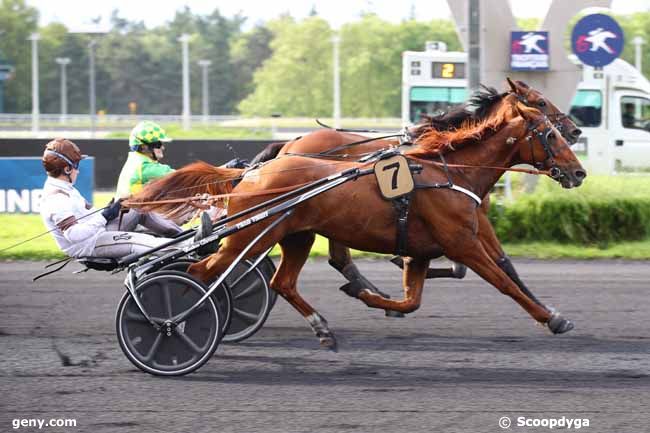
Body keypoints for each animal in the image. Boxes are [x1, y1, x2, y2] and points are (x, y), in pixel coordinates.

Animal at [130, 93, 584, 348]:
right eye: (548, 131)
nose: (578, 170)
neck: (448, 170)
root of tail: (252, 173)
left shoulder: (427, 248)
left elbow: (413, 298)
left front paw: (368, 295)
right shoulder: (464, 242)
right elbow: (504, 279)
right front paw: (552, 318)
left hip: (296, 235)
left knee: (281, 282)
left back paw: (323, 327)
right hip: (252, 236)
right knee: (201, 272)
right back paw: (177, 322)